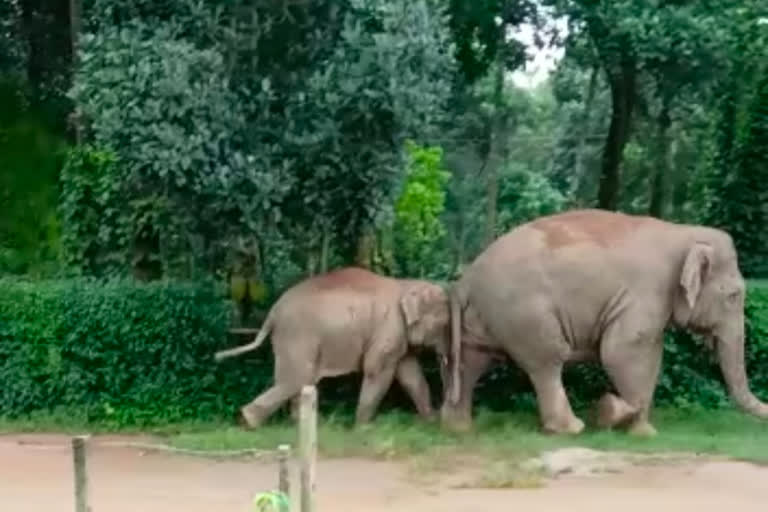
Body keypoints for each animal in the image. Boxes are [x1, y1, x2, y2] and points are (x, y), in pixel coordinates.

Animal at [213, 266, 450, 426]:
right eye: (444, 325)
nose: (441, 413)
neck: (406, 284)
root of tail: (273, 313)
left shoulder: (397, 336)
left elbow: (410, 374)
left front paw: (430, 420)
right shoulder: (389, 329)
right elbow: (377, 370)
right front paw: (362, 428)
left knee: (299, 380)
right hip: (297, 335)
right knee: (296, 378)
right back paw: (248, 422)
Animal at [438, 208, 768, 436]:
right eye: (734, 296)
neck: (682, 234)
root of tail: (465, 279)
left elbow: (651, 357)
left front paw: (635, 426)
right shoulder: (644, 292)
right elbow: (620, 352)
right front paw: (625, 421)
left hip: (483, 317)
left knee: (472, 362)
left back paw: (458, 427)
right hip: (524, 313)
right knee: (548, 360)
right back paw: (570, 429)